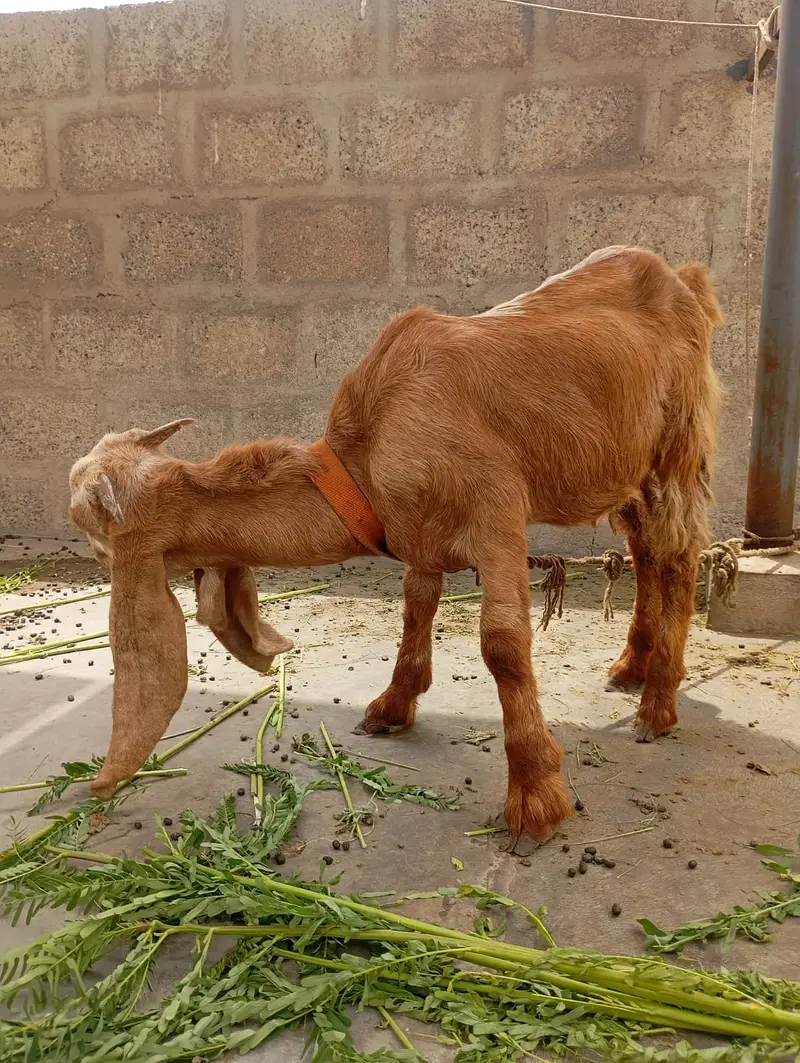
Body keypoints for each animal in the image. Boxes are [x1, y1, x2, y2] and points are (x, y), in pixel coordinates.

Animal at [68, 246, 722, 840]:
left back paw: (658, 703)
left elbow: (503, 645)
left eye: (94, 533)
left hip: (677, 443)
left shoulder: (496, 512)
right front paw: (392, 705)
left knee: (680, 555)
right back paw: (631, 666)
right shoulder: (421, 536)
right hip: (627, 466)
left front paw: (537, 793)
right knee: (646, 554)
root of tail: (684, 278)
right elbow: (415, 607)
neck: (366, 457)